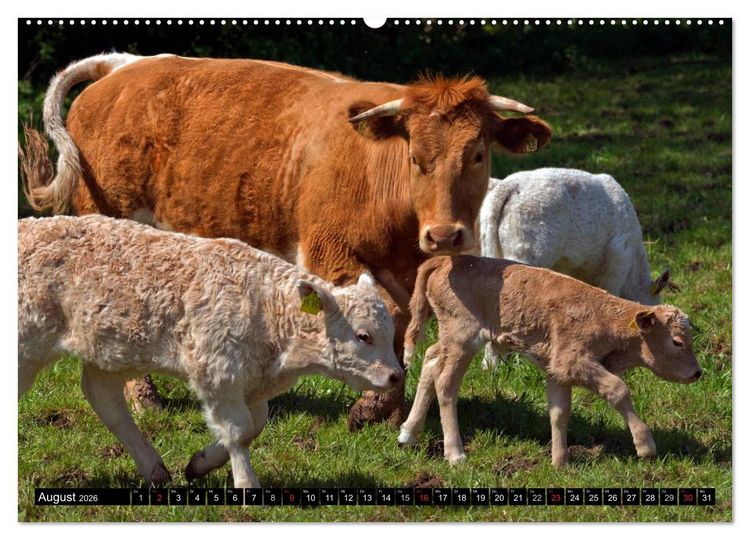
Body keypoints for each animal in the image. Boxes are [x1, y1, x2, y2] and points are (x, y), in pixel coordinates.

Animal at [18, 215, 403, 487]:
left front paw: (200, 463)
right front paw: (247, 485)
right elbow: (238, 430)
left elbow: (254, 425)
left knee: (104, 398)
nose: (396, 376)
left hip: (109, 349)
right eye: (364, 336)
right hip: (28, 344)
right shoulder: (217, 370)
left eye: (390, 334)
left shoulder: (249, 381)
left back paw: (154, 469)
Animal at [20, 52, 552, 428]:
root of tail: (124, 66)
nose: (444, 234)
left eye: (478, 154)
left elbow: (400, 324)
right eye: (416, 158)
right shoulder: (328, 254)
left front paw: (390, 407)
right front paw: (373, 407)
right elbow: (382, 312)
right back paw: (143, 398)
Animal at [399, 255, 701, 467]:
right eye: (677, 341)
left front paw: (559, 462)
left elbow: (559, 411)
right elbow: (617, 389)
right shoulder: (574, 362)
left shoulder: (557, 371)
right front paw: (645, 445)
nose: (697, 373)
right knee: (446, 383)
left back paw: (408, 434)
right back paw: (455, 454)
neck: (604, 317)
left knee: (430, 360)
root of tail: (446, 260)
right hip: (462, 341)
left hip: (449, 341)